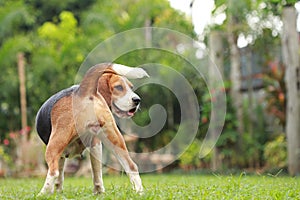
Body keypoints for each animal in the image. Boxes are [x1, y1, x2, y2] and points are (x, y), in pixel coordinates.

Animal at [36, 63, 149, 195]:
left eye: (130, 87)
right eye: (119, 87)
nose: (137, 100)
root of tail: (84, 91)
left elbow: (59, 173)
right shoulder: (95, 144)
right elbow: (96, 173)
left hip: (54, 144)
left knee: (53, 172)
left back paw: (42, 194)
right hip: (114, 139)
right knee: (131, 166)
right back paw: (139, 192)